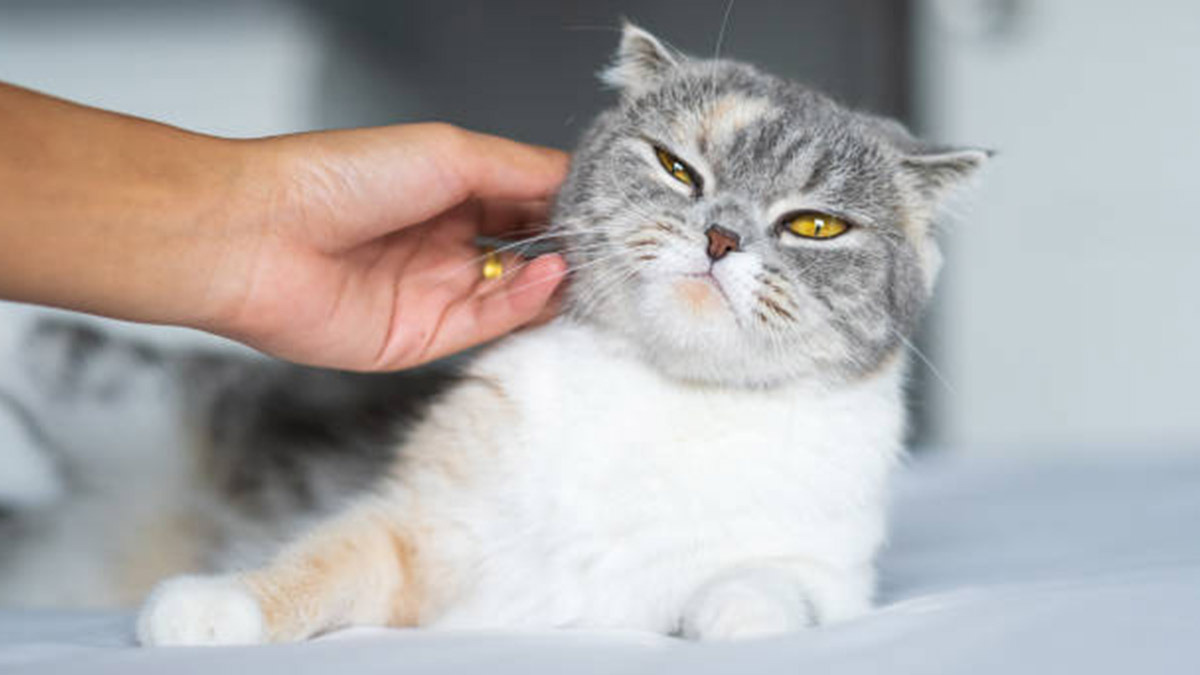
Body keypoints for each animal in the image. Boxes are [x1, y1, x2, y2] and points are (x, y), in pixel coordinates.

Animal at [4, 23, 988, 638]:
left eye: (816, 225)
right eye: (677, 167)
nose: (720, 236)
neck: (668, 399)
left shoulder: (832, 567)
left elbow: (773, 585)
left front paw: (732, 612)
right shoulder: (416, 525)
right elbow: (323, 558)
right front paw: (216, 606)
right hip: (108, 384)